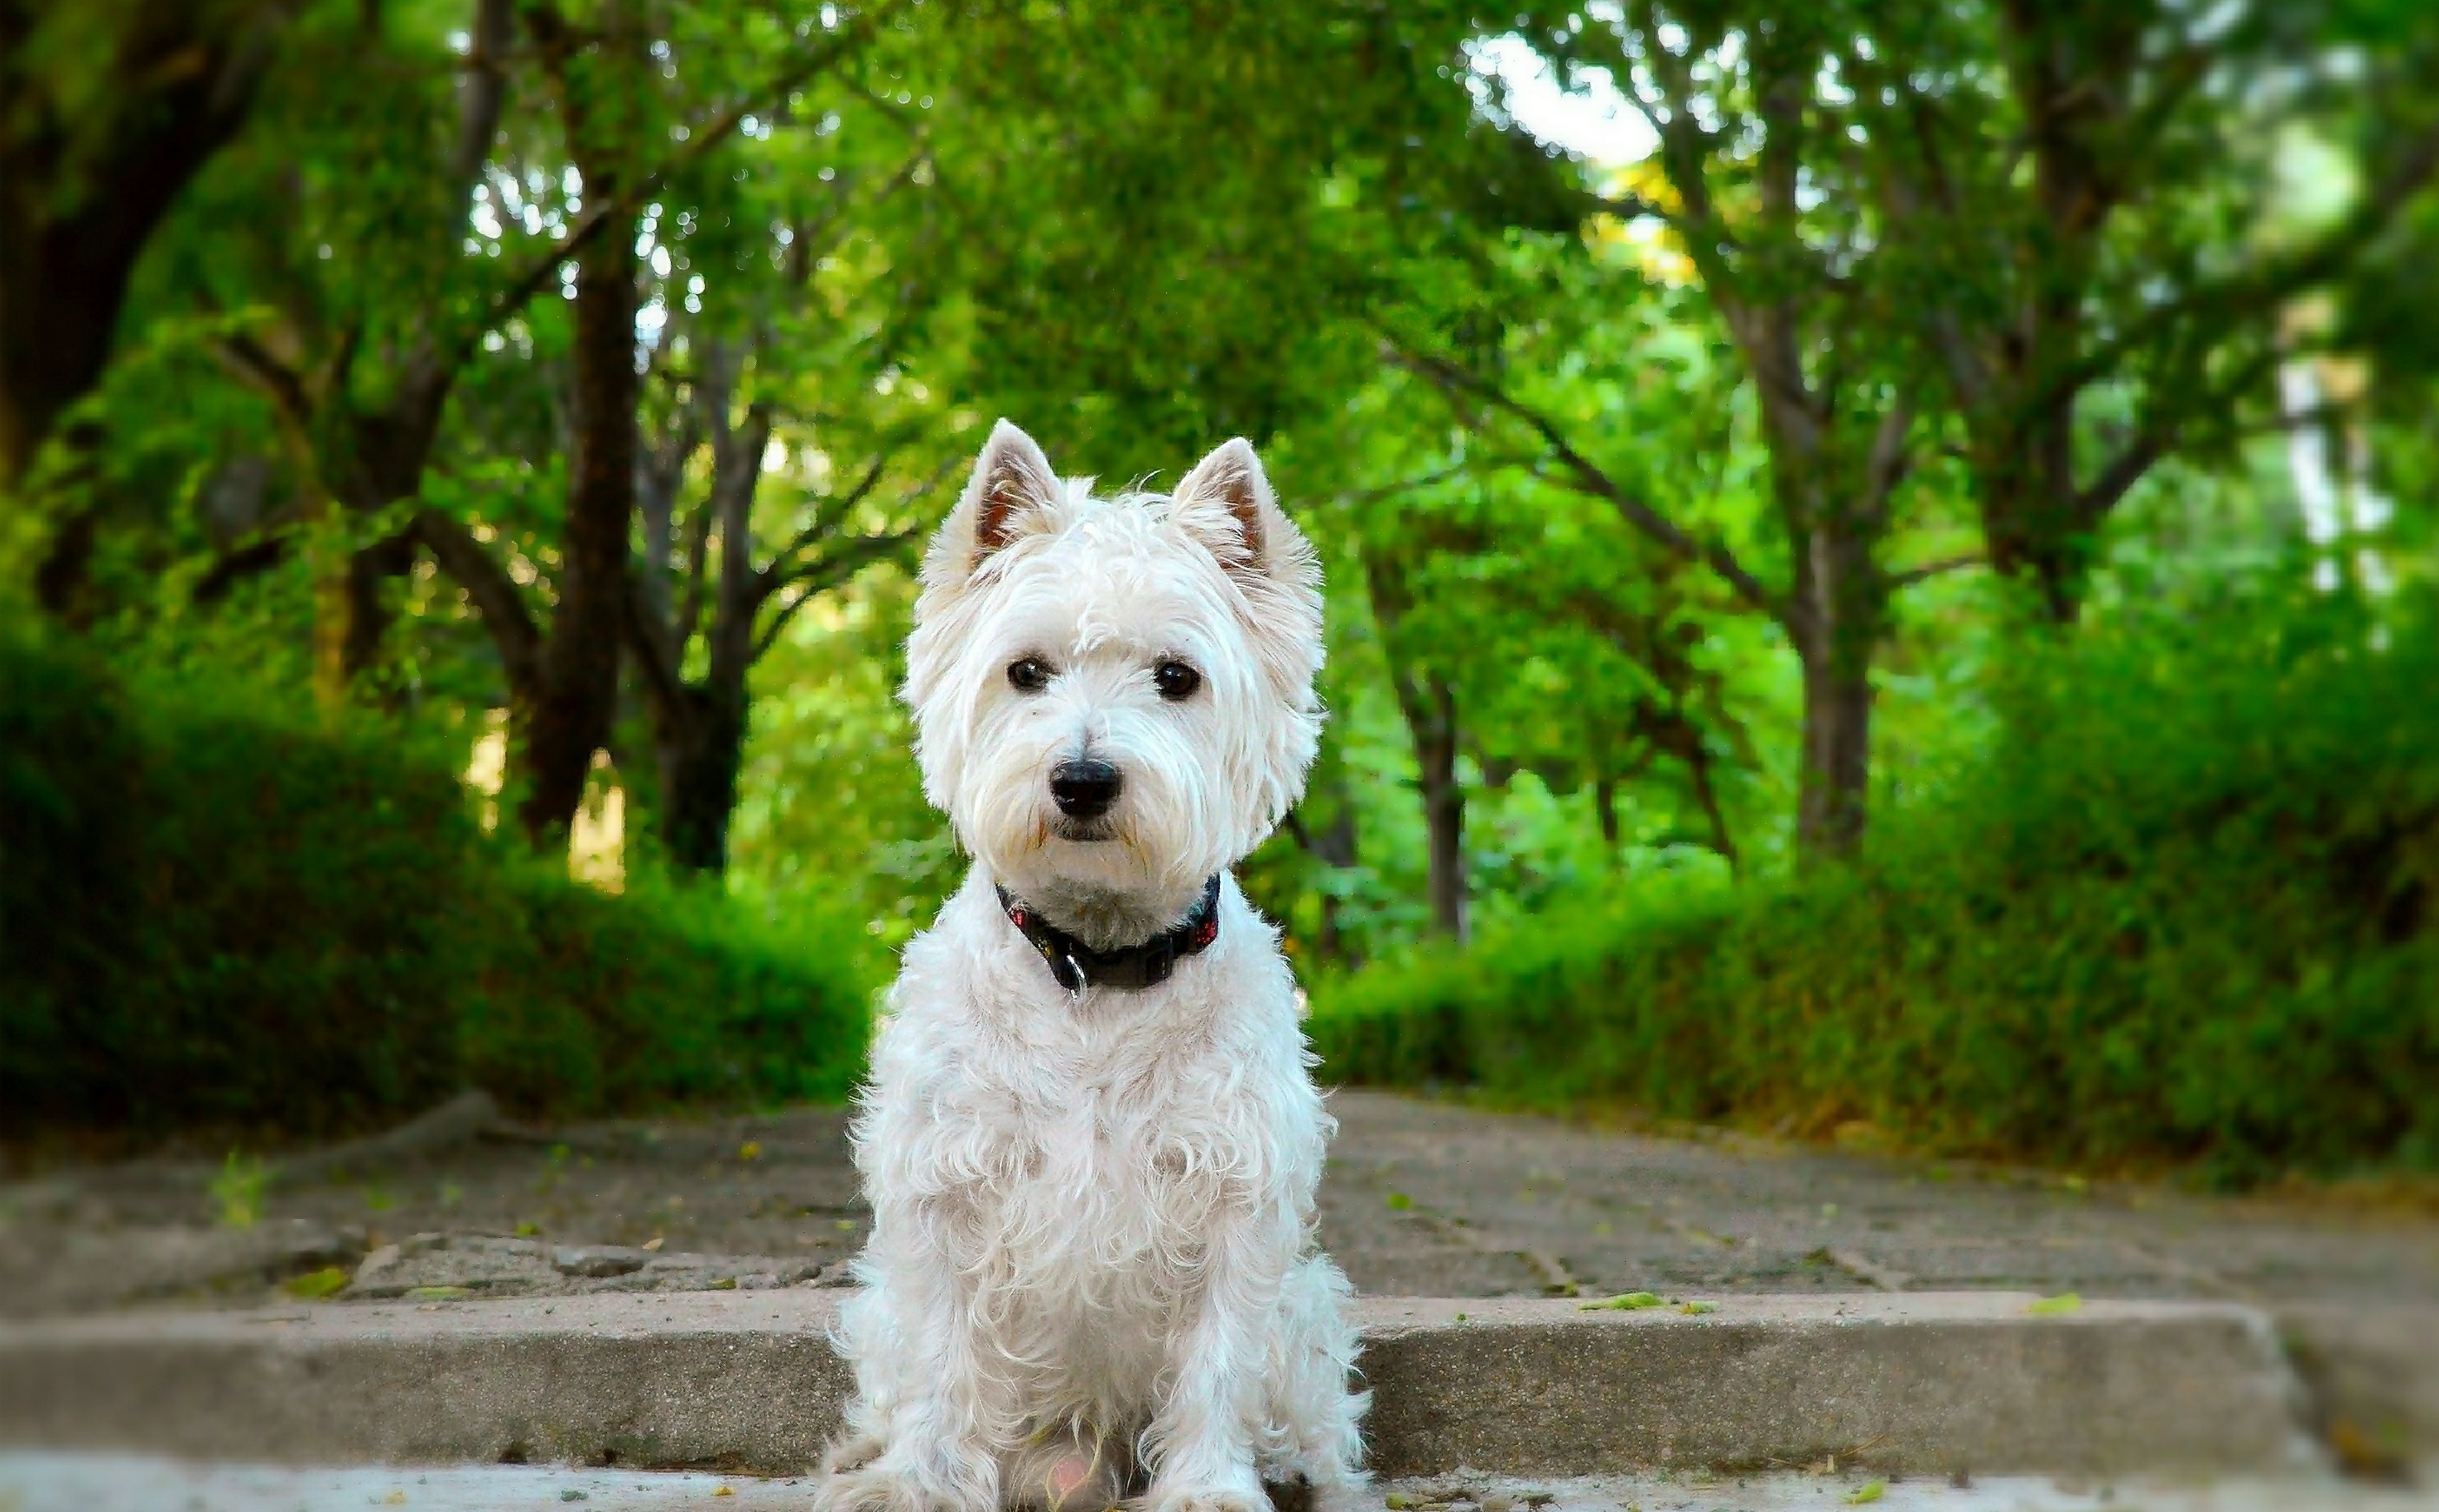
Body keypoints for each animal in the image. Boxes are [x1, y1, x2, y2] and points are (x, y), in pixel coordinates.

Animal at [809, 419, 1366, 1512]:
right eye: (1025, 671)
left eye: (1177, 676)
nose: (1081, 779)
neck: (1094, 969)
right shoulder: (944, 1185)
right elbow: (942, 1351)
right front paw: (917, 1480)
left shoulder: (1236, 1189)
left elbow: (1219, 1354)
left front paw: (1208, 1486)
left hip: (1309, 1306)